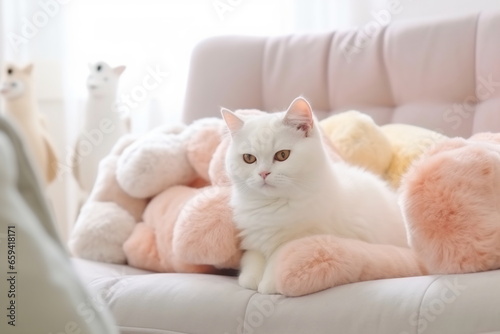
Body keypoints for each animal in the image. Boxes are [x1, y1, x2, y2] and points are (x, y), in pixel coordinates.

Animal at [221, 97, 408, 294]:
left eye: (282, 155)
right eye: (249, 158)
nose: (263, 173)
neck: (274, 206)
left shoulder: (303, 238)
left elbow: (279, 259)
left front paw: (269, 283)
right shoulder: (253, 240)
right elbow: (252, 259)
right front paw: (252, 278)